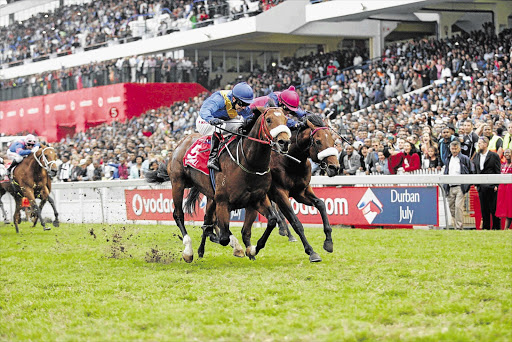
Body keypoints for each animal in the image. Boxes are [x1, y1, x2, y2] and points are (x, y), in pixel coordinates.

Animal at [148, 107, 292, 262]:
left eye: (285, 119)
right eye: (269, 120)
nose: (284, 142)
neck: (248, 163)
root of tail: (182, 141)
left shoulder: (257, 199)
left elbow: (271, 221)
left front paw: (252, 249)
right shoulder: (223, 202)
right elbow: (222, 237)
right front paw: (237, 246)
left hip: (209, 195)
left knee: (207, 220)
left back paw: (203, 249)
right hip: (178, 183)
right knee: (179, 214)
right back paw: (188, 250)